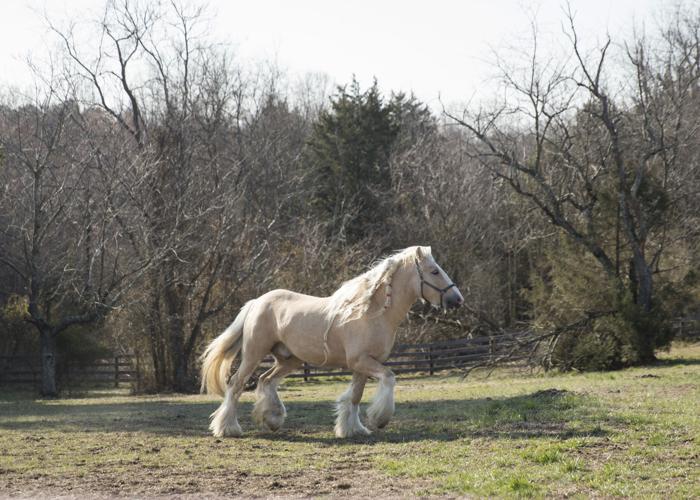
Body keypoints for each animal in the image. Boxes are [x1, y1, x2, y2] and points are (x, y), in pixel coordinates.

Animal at [200, 245, 464, 438]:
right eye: (434, 271)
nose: (457, 300)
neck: (372, 314)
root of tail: (257, 302)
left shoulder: (363, 366)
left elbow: (355, 397)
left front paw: (352, 429)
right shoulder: (362, 362)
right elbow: (388, 378)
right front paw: (379, 419)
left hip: (288, 359)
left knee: (266, 381)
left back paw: (272, 419)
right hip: (254, 354)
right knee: (236, 384)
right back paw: (227, 428)